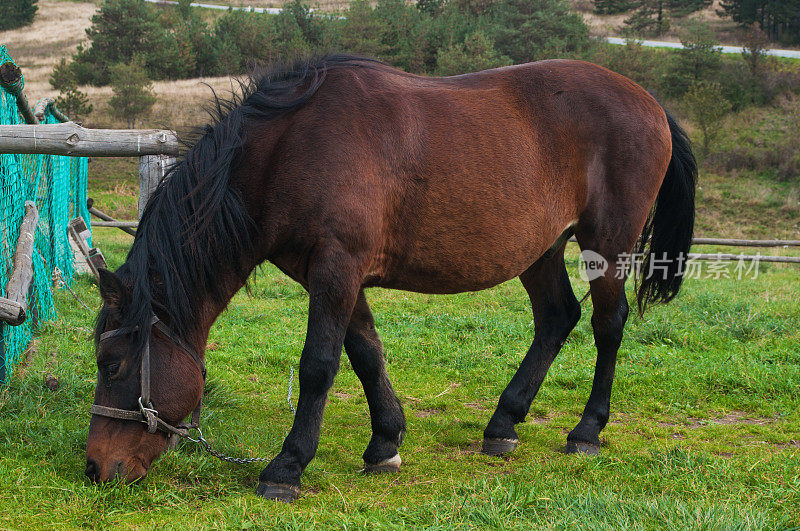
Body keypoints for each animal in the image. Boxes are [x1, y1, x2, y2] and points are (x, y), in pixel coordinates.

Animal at [84, 54, 692, 502]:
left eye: (110, 364)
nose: (94, 468)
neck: (291, 147)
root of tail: (650, 101)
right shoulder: (335, 273)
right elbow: (365, 353)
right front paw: (385, 443)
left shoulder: (337, 266)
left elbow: (319, 365)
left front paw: (287, 466)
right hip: (541, 248)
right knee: (557, 318)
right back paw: (503, 423)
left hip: (606, 243)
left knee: (608, 325)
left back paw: (587, 430)